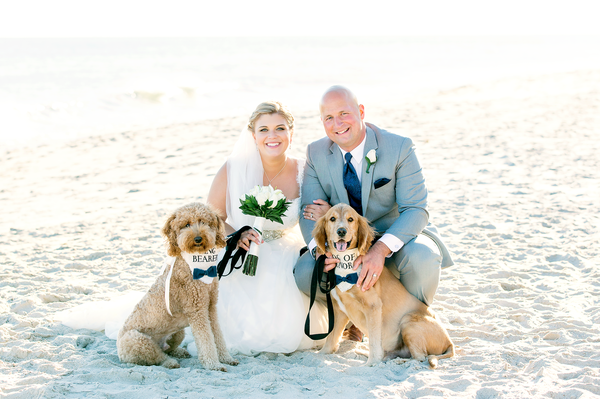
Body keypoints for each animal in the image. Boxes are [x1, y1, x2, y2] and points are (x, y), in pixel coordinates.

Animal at [116, 203, 238, 372]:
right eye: (186, 225)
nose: (198, 238)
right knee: (155, 357)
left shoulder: (210, 308)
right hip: (136, 340)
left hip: (178, 333)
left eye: (204, 222)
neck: (197, 265)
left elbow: (217, 335)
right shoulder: (197, 311)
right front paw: (213, 364)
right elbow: (206, 339)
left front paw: (226, 358)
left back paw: (179, 352)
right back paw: (169, 363)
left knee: (167, 349)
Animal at [316, 206, 452, 368]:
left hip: (408, 321)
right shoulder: (339, 310)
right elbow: (331, 337)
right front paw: (320, 355)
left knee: (420, 357)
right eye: (332, 219)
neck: (345, 267)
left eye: (351, 219)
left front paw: (372, 363)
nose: (341, 231)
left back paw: (396, 361)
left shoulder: (373, 307)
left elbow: (374, 340)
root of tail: (449, 341)